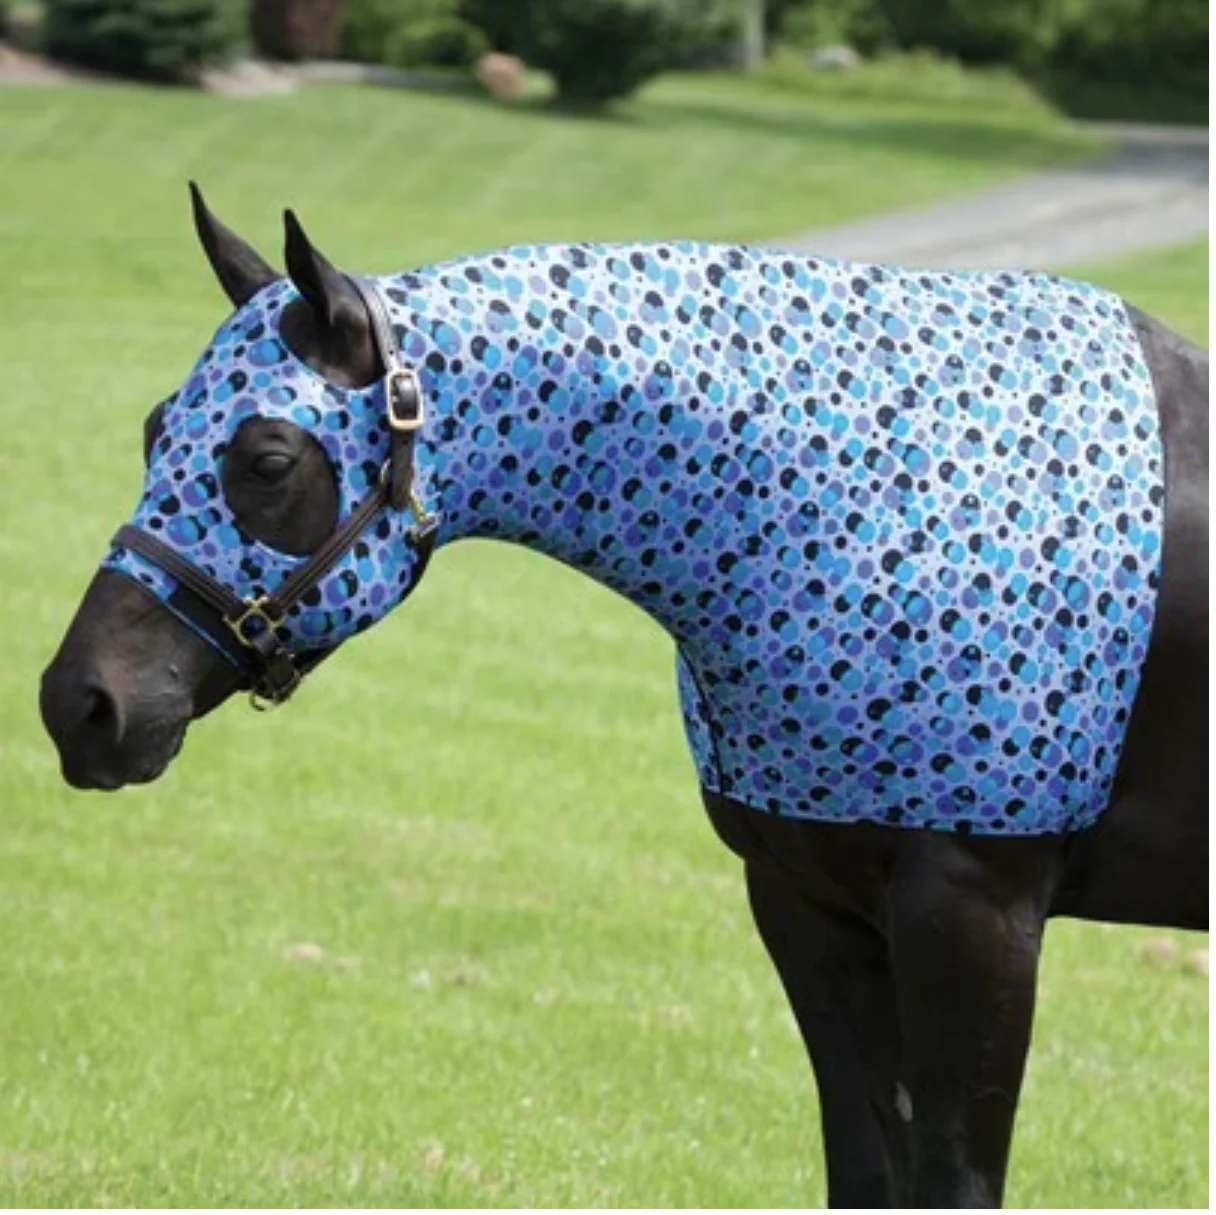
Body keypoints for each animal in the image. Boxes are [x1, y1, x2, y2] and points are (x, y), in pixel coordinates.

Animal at [40, 186, 1208, 1207]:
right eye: (154, 428)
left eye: (270, 459)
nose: (80, 702)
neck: (883, 496)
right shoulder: (812, 909)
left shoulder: (972, 921)